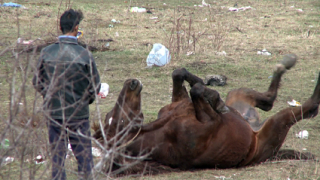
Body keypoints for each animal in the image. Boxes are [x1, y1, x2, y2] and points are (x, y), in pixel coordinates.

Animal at [94, 54, 318, 174]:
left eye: (112, 115)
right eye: (118, 119)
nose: (131, 83)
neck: (161, 130)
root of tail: (255, 126)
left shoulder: (178, 103)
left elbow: (180, 75)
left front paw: (204, 86)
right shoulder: (211, 123)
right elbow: (197, 92)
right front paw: (216, 100)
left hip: (239, 95)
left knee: (269, 99)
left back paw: (285, 63)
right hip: (276, 125)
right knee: (308, 107)